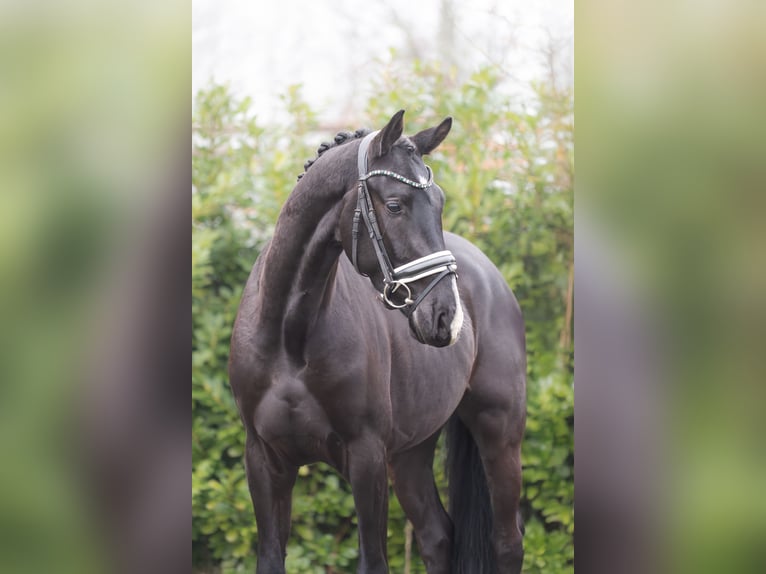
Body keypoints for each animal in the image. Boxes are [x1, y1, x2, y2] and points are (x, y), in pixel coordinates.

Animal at [229, 110, 526, 574]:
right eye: (394, 205)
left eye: (439, 202)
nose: (446, 316)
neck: (289, 337)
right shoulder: (264, 460)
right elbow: (271, 558)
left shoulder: (365, 457)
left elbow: (373, 561)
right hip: (410, 454)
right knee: (437, 536)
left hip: (499, 433)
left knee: (507, 543)